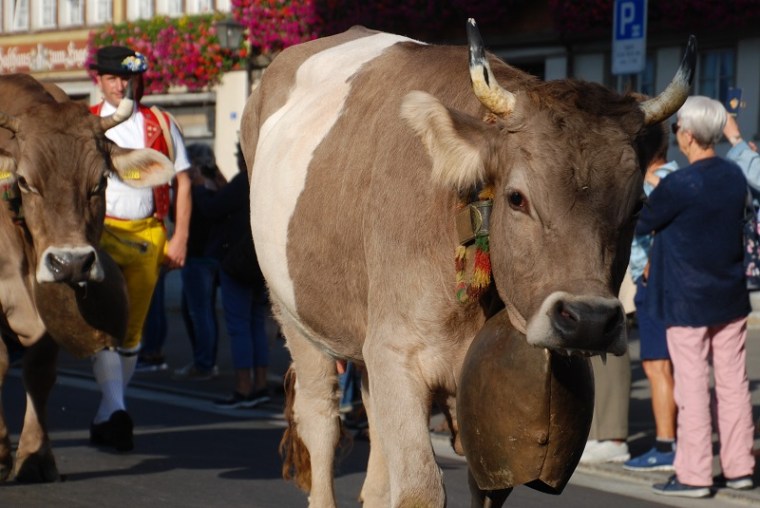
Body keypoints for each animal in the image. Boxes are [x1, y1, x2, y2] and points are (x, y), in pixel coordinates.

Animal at [240, 20, 694, 507]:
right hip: (291, 312)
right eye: (516, 198)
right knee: (320, 421)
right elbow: (419, 488)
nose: (589, 319)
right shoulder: (396, 352)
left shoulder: (471, 394)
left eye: (638, 205)